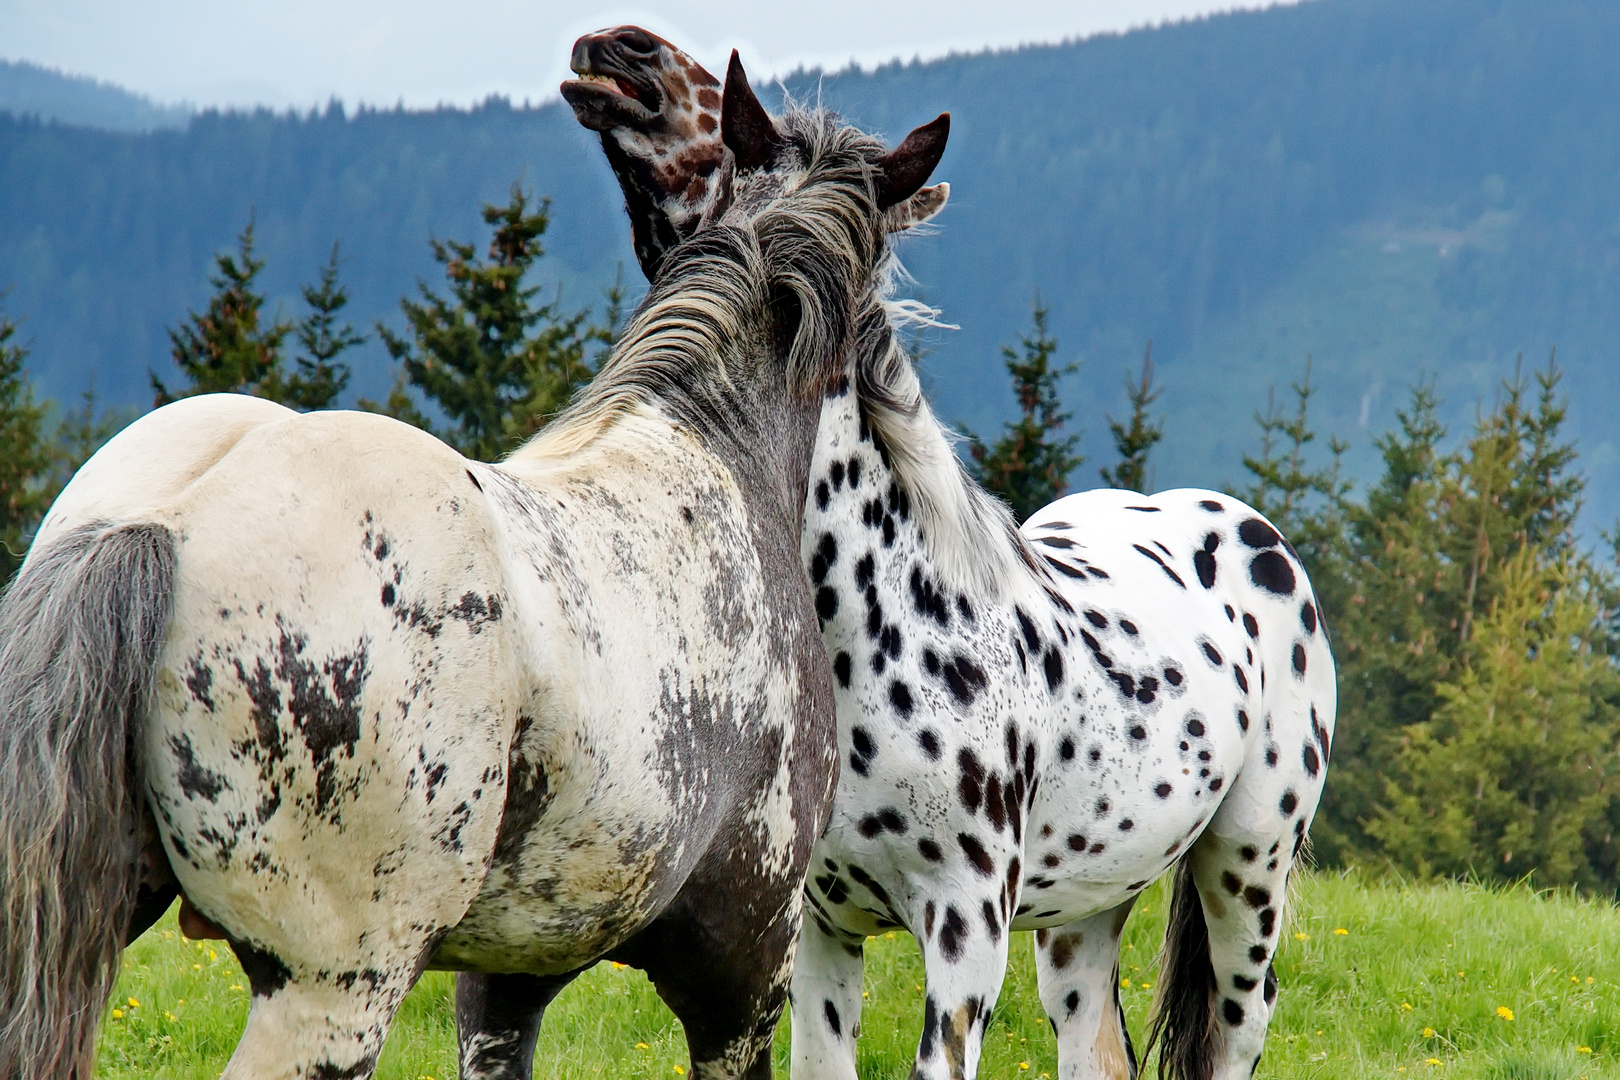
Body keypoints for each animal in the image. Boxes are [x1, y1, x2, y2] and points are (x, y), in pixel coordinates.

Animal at [550, 27, 1334, 1080]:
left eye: (719, 120)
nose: (616, 51)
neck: (884, 630)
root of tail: (1250, 534)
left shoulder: (965, 935)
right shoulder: (819, 930)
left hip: (1248, 874)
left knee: (1237, 1028)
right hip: (1085, 913)